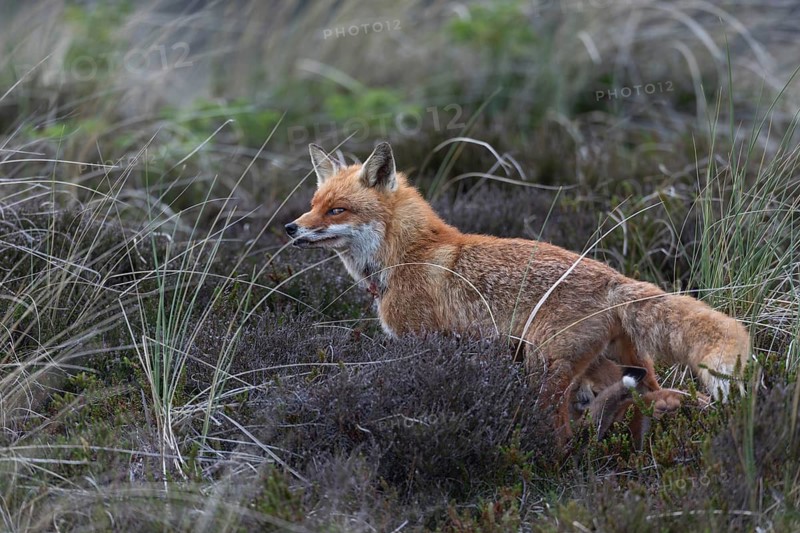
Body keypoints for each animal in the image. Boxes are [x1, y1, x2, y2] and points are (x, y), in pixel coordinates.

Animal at [285, 142, 751, 442]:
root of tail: (614, 279)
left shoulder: (421, 342)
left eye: (337, 210)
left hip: (542, 367)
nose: (291, 228)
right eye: (313, 203)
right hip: (620, 365)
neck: (408, 254)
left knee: (565, 431)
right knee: (648, 401)